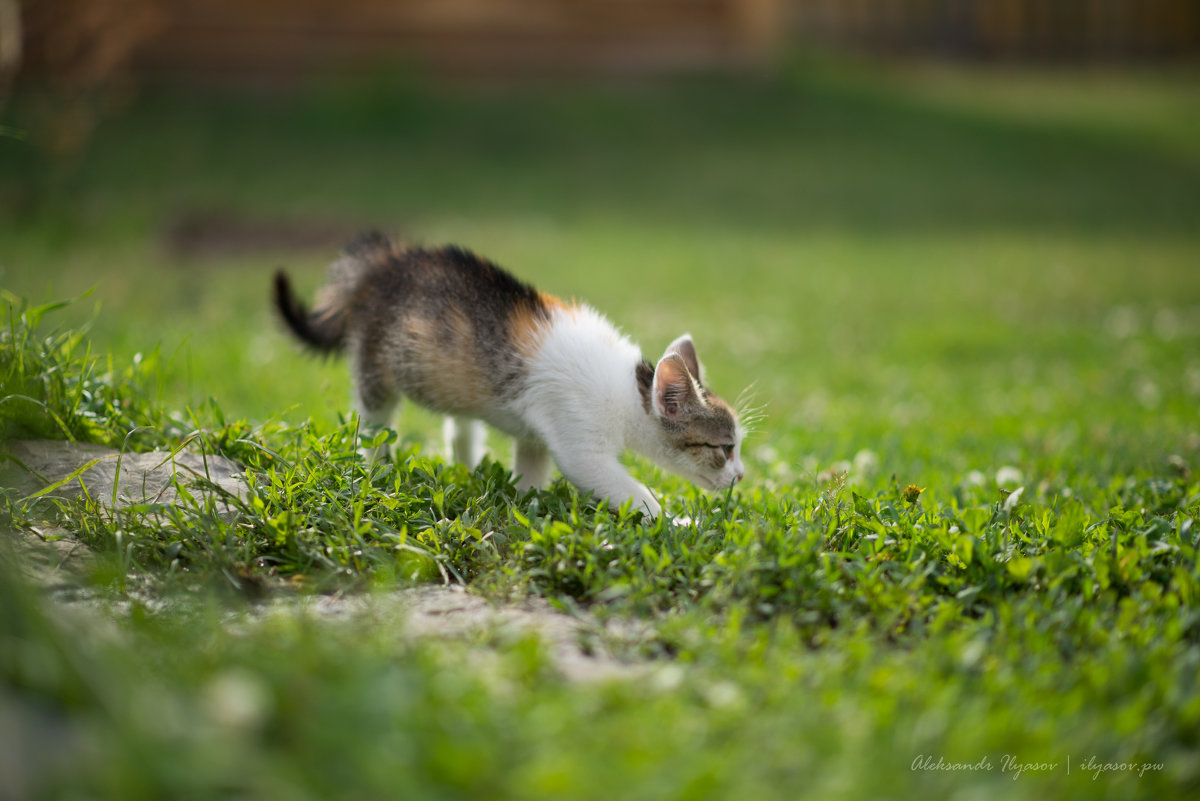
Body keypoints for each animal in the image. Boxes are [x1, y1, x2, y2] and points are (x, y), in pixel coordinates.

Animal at [274, 231, 739, 520]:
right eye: (725, 448)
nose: (740, 477)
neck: (631, 392)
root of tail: (383, 261)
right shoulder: (580, 442)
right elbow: (623, 486)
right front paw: (675, 523)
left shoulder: (540, 433)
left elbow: (531, 464)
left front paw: (527, 501)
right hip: (375, 363)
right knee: (375, 419)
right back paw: (377, 468)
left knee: (459, 425)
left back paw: (465, 468)